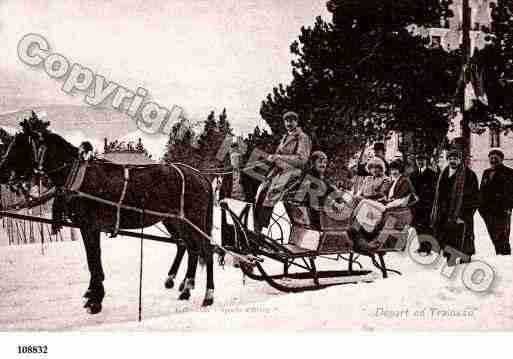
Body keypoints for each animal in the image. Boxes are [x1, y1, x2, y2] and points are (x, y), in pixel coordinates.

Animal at [0, 122, 215, 314]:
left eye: (20, 146)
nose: (2, 171)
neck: (79, 177)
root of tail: (202, 177)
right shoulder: (84, 227)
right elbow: (91, 260)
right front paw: (91, 295)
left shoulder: (91, 226)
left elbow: (95, 259)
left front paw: (95, 300)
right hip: (176, 221)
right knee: (189, 248)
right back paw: (185, 288)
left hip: (193, 220)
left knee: (206, 249)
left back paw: (208, 296)